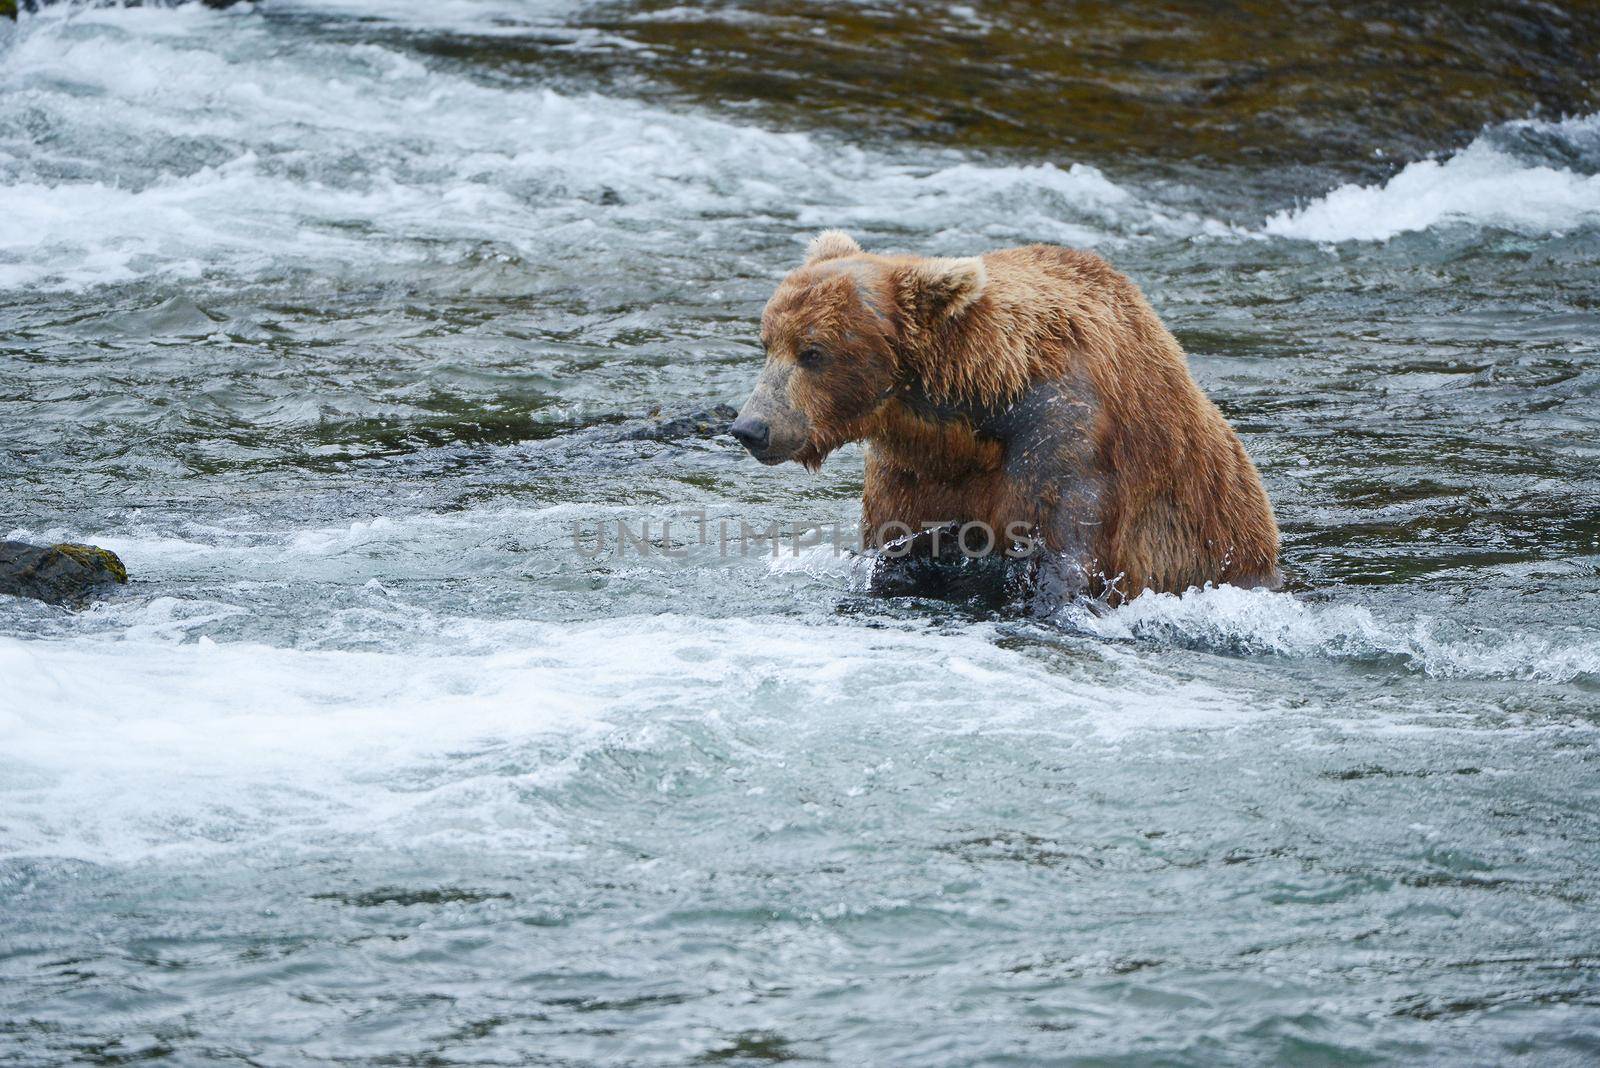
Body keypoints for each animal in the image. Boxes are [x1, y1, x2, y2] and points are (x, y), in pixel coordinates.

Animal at [732, 230, 1280, 604]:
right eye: (767, 342)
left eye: (812, 352)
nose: (751, 428)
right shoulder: (916, 466)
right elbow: (895, 542)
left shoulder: (1064, 436)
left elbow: (1061, 548)